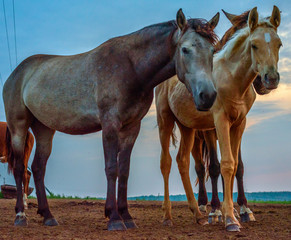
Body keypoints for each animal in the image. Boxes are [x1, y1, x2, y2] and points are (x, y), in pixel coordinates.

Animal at [2, 8, 219, 231]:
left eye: (213, 51)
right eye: (185, 49)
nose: (207, 96)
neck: (131, 67)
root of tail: (17, 73)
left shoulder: (131, 128)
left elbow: (123, 171)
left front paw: (126, 216)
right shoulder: (110, 126)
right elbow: (111, 169)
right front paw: (114, 217)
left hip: (44, 129)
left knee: (38, 168)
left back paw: (47, 215)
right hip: (19, 127)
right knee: (19, 169)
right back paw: (20, 215)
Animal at [157, 6, 282, 232]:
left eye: (279, 44)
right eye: (254, 45)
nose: (270, 80)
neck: (232, 79)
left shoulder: (239, 124)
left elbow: (236, 166)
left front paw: (235, 212)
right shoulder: (219, 121)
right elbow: (224, 164)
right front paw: (229, 219)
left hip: (187, 127)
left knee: (182, 161)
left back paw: (198, 214)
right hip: (165, 121)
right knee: (166, 163)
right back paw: (168, 215)